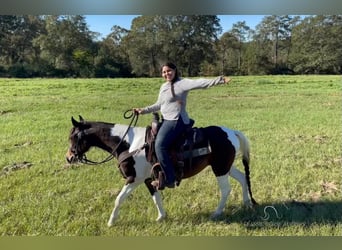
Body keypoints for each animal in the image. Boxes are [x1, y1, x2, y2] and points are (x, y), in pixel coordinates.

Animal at [65, 114, 255, 227]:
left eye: (73, 136)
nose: (69, 157)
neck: (128, 144)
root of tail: (231, 132)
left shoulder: (134, 179)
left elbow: (119, 199)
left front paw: (111, 222)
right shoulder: (149, 179)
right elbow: (156, 197)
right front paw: (161, 217)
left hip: (220, 169)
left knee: (226, 189)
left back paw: (216, 213)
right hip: (225, 167)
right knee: (242, 178)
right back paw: (247, 203)